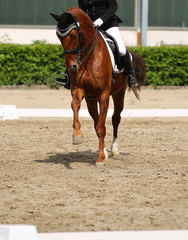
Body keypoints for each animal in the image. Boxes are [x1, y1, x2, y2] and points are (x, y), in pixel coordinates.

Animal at [50, 7, 146, 165]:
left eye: (74, 36)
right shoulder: (80, 90)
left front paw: (100, 158)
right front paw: (77, 136)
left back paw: (114, 149)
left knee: (115, 118)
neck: (89, 57)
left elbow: (102, 126)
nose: (72, 67)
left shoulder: (104, 94)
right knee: (97, 120)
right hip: (91, 98)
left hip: (118, 93)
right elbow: (76, 106)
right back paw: (106, 150)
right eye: (59, 36)